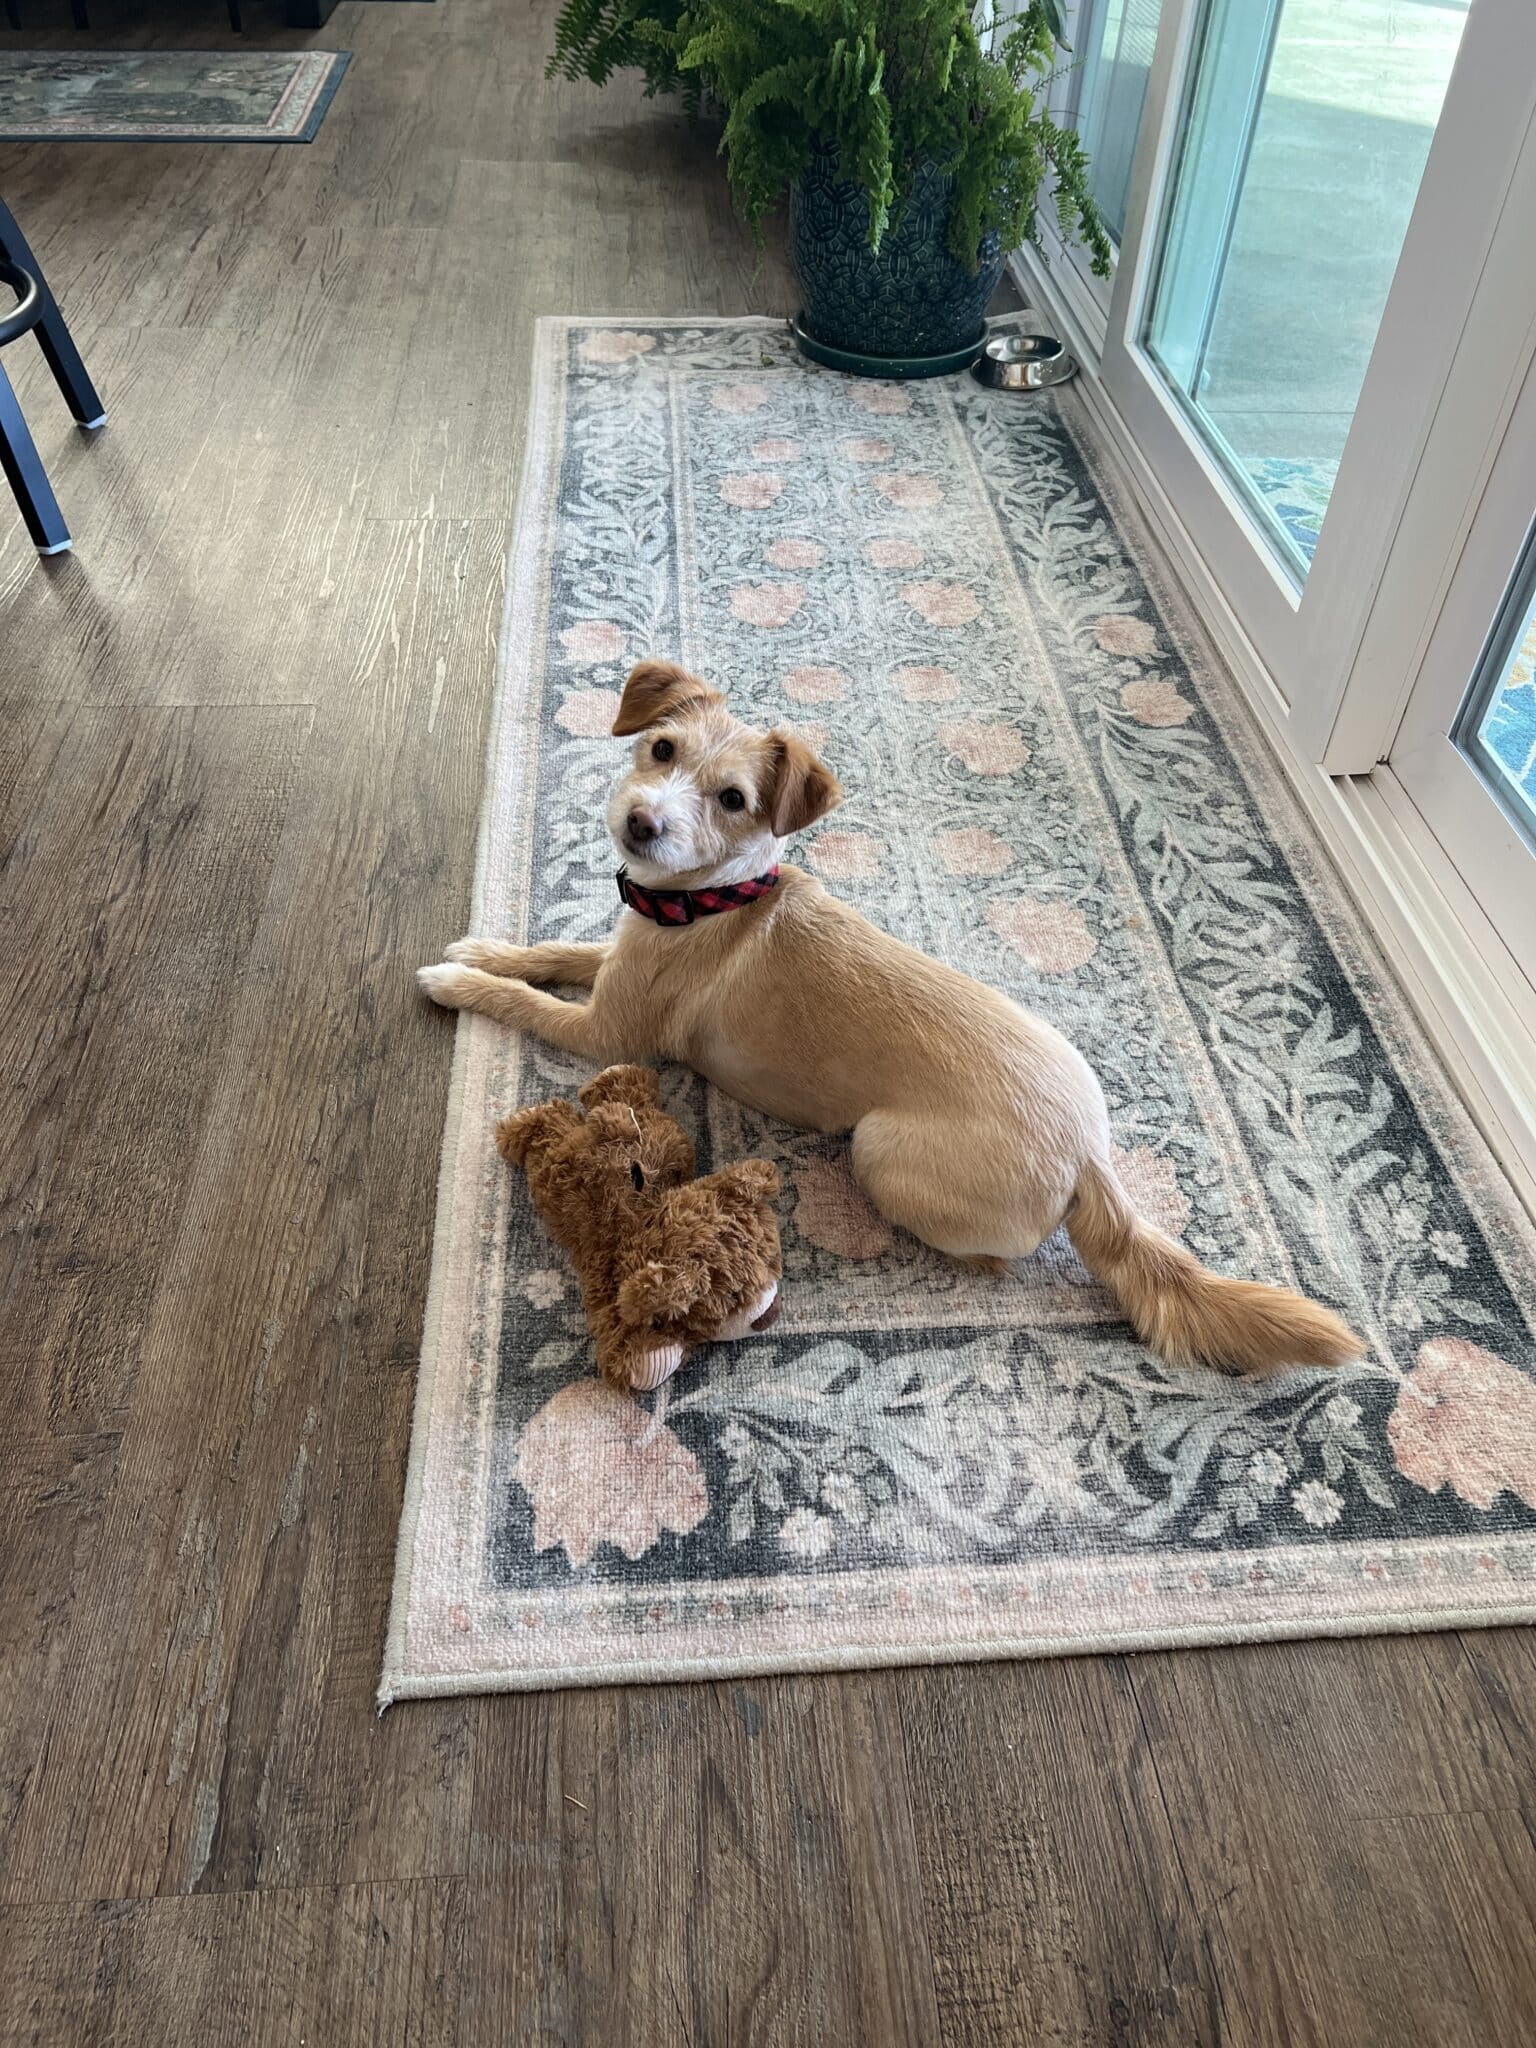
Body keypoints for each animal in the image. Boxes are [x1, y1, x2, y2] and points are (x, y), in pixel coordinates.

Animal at [501, 1056, 786, 1392]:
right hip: (551, 1171)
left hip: (661, 1131)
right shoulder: (606, 1277)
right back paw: (526, 1119)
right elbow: (616, 1325)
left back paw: (614, 1075)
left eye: (770, 1260)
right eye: (732, 1298)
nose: (771, 1315)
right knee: (546, 1131)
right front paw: (652, 1360)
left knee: (624, 1096)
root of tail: (583, 1131)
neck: (649, 1218)